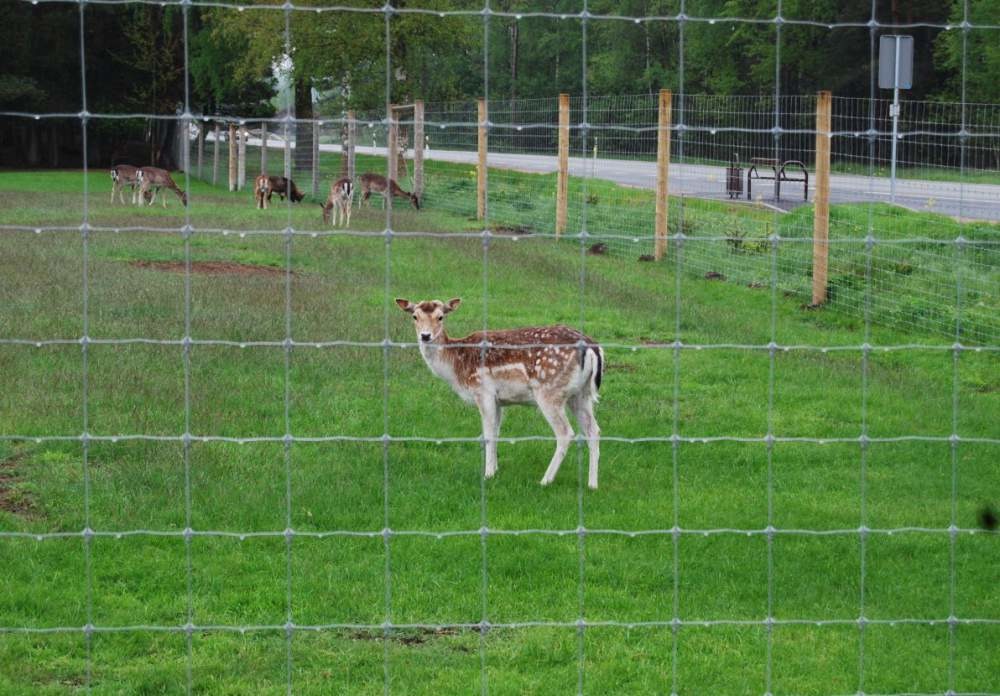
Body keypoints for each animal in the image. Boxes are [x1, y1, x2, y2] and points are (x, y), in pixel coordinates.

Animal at [396, 300, 600, 490]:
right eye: (414, 316)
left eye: (440, 317)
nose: (425, 336)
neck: (456, 368)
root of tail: (593, 348)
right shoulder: (499, 400)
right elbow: (496, 431)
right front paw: (495, 470)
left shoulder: (482, 391)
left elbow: (487, 434)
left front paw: (487, 474)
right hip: (581, 394)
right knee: (594, 430)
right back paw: (592, 484)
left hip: (549, 391)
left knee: (566, 432)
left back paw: (545, 480)